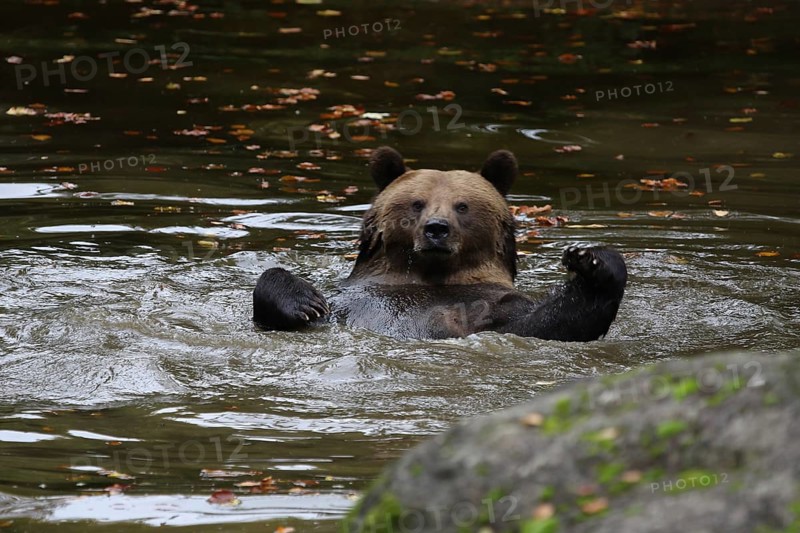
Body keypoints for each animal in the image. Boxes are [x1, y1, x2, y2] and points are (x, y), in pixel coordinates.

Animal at [252, 146, 627, 341]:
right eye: (417, 203)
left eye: (462, 206)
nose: (436, 229)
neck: (431, 276)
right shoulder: (350, 301)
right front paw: (306, 302)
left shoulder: (494, 308)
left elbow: (551, 325)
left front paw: (591, 261)